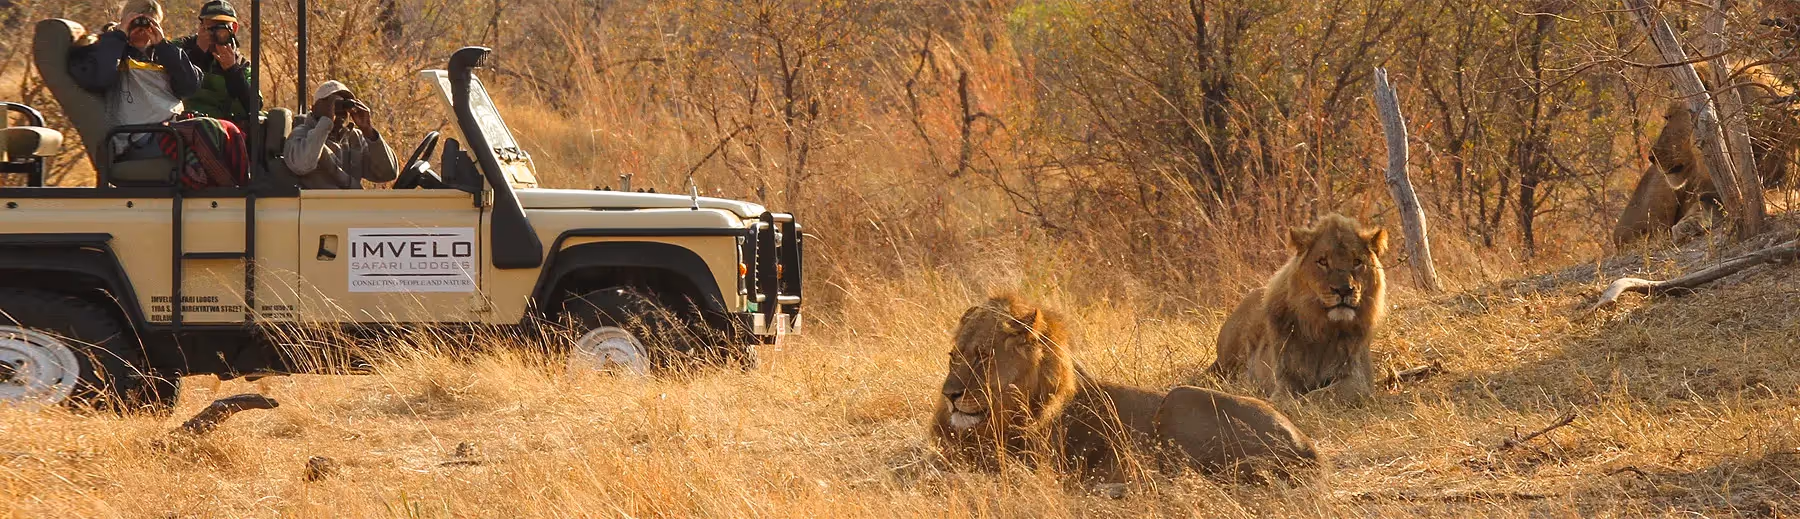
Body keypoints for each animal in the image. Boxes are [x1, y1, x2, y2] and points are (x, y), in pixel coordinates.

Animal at [932, 295, 1321, 485]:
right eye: (953, 356)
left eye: (983, 356)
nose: (950, 395)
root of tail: (1307, 446)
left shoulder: (1026, 462)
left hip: (1179, 399)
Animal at [1210, 213, 1386, 404]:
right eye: (1322, 261)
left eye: (1357, 262)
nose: (1344, 289)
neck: (1323, 329)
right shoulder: (1286, 373)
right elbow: (1284, 392)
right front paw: (1280, 402)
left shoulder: (1359, 381)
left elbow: (1322, 394)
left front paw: (1299, 402)